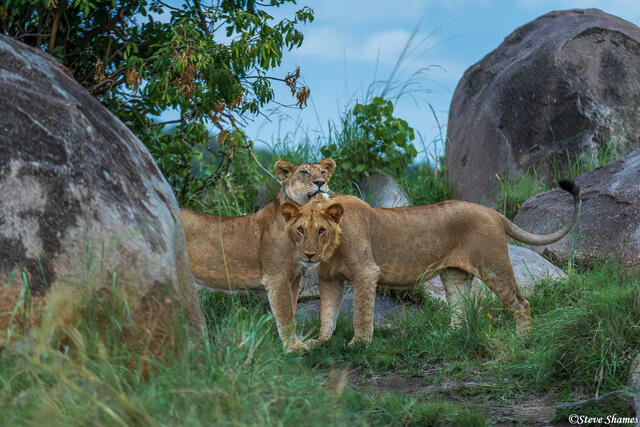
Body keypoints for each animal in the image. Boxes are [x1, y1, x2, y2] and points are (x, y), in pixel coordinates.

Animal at [180, 158, 335, 351]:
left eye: (323, 172)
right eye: (304, 172)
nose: (320, 183)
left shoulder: (295, 278)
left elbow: (292, 311)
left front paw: (297, 343)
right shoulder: (277, 279)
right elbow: (285, 315)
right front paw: (293, 348)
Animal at [280, 180, 581, 346]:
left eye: (321, 230)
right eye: (300, 230)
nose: (308, 255)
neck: (332, 247)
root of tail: (493, 212)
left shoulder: (366, 271)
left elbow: (360, 313)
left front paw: (359, 344)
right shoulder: (329, 279)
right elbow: (327, 313)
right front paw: (320, 343)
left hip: (493, 264)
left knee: (521, 303)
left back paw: (522, 340)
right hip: (454, 275)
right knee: (460, 310)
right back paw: (449, 338)